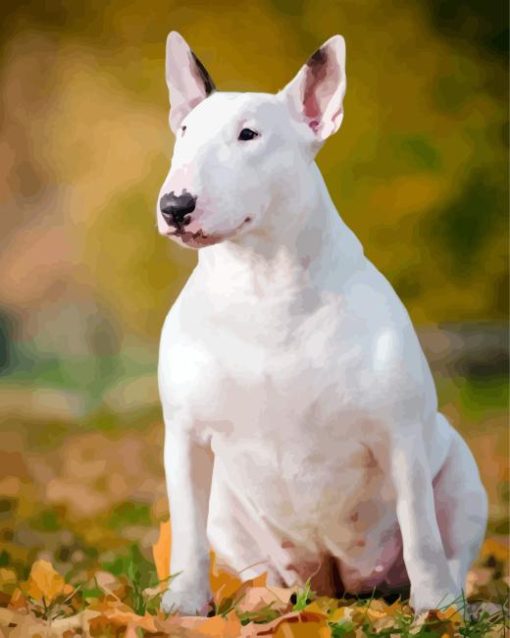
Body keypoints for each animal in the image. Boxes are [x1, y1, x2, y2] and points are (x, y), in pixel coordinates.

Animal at [154, 32, 486, 616]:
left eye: (249, 134)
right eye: (185, 131)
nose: (175, 206)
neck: (264, 288)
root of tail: (336, 581)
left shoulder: (399, 437)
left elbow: (420, 531)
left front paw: (436, 609)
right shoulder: (186, 437)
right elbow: (186, 535)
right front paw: (183, 606)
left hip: (464, 478)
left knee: (448, 549)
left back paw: (450, 601)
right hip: (230, 515)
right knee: (256, 567)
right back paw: (264, 602)